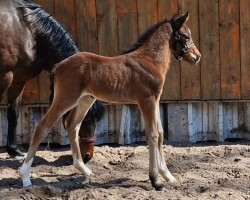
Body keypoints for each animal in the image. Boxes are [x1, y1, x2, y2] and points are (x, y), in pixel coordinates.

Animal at [0, 0, 102, 161]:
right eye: (85, 118)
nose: (87, 156)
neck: (28, 31)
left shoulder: (18, 80)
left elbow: (13, 114)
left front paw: (14, 151)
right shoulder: (5, 77)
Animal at [20, 11, 202, 190]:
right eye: (186, 36)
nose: (197, 56)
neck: (149, 60)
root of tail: (58, 66)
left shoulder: (156, 101)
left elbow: (161, 133)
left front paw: (168, 176)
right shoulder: (146, 101)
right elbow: (152, 134)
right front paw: (156, 180)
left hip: (85, 100)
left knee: (72, 125)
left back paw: (85, 170)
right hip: (66, 98)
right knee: (42, 127)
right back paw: (25, 177)